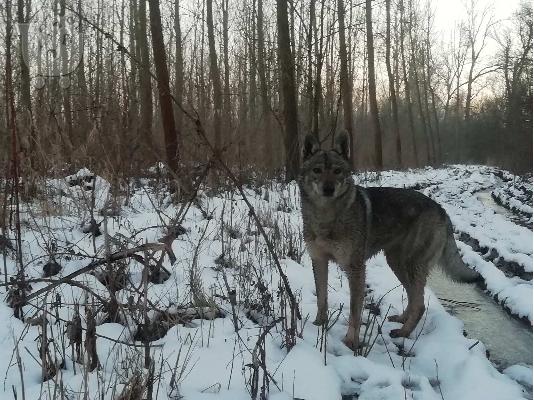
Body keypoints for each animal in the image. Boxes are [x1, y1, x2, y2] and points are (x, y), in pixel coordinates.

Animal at [300, 131, 480, 350]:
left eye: (337, 171)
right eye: (317, 170)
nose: (328, 189)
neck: (326, 216)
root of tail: (442, 210)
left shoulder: (355, 269)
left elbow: (354, 312)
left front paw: (351, 341)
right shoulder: (319, 260)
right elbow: (321, 298)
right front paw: (318, 325)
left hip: (411, 265)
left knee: (420, 304)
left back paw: (403, 332)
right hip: (397, 264)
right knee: (413, 297)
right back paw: (401, 320)